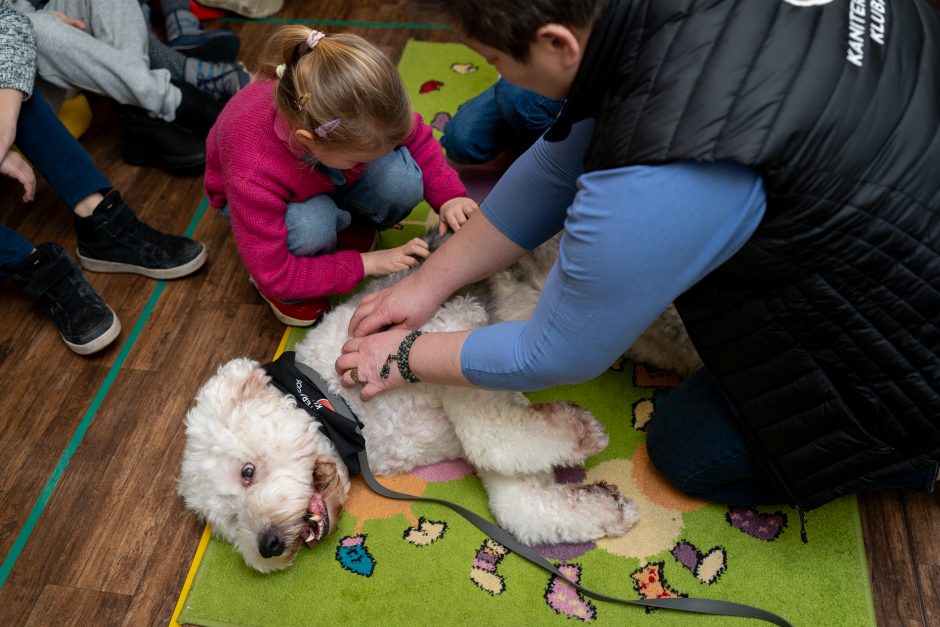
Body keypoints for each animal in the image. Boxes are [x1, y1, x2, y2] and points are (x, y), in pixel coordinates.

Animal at [180, 233, 700, 572]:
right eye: (228, 521)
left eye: (247, 471)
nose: (267, 546)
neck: (344, 410)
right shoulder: (490, 408)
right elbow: (520, 504)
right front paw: (608, 506)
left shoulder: (451, 328)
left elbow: (491, 437)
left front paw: (580, 431)